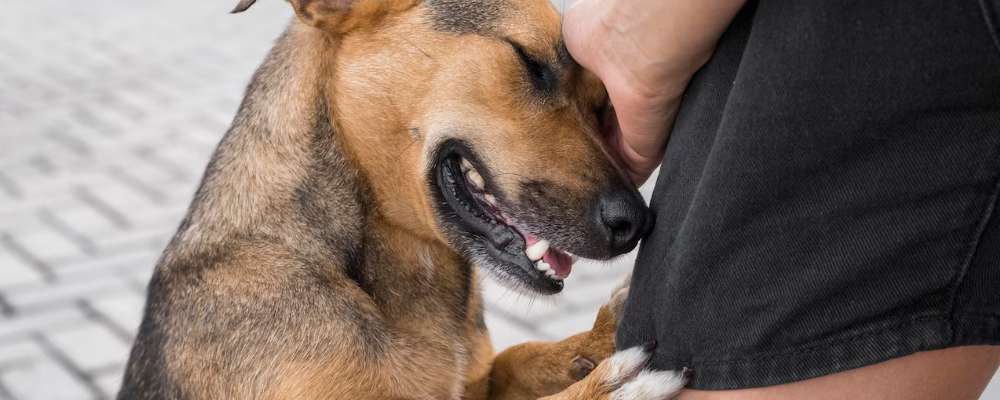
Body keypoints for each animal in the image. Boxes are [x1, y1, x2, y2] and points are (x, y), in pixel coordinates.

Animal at [115, 0, 680, 400]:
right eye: (529, 60)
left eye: (601, 103)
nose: (636, 222)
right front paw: (604, 389)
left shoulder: (474, 382)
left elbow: (518, 356)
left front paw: (594, 342)